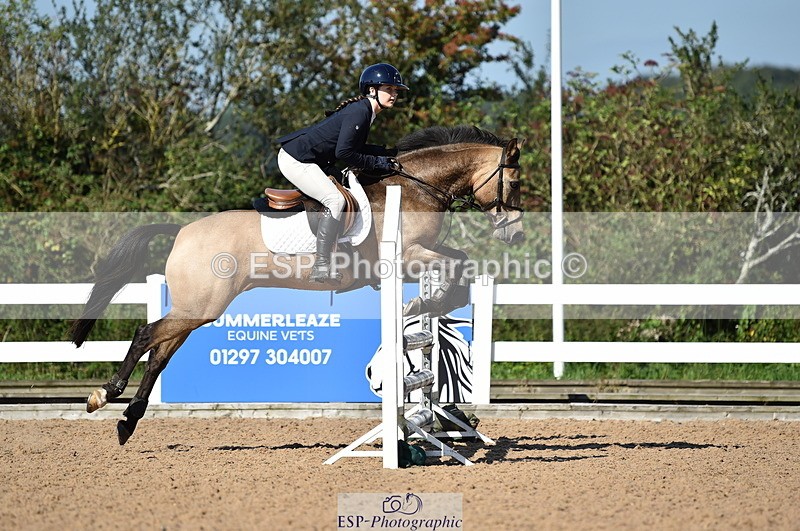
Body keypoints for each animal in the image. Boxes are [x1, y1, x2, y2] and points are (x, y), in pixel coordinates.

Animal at [71, 125, 524, 444]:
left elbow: (461, 264)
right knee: (146, 335)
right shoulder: (405, 258)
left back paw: (128, 421)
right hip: (201, 306)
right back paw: (105, 395)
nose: (516, 235)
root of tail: (182, 230)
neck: (415, 187)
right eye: (517, 183)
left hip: (194, 309)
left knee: (159, 355)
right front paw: (418, 307)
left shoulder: (423, 254)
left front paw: (428, 305)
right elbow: (456, 267)